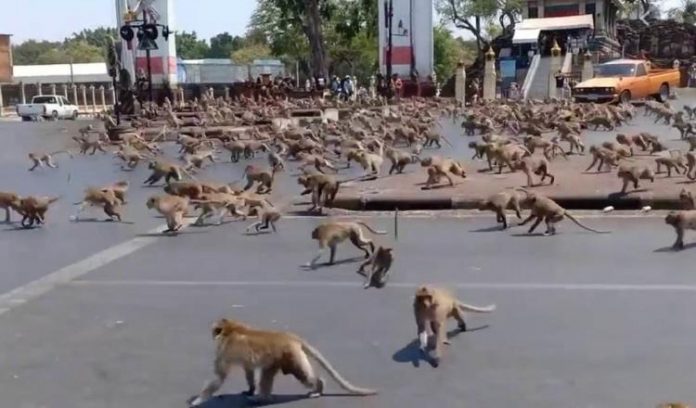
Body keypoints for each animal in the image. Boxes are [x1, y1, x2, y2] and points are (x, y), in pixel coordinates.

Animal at [187, 318, 377, 407]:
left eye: (214, 330)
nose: (212, 334)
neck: (232, 329)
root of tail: (290, 336)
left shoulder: (224, 351)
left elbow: (219, 377)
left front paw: (198, 400)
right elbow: (248, 370)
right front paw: (250, 389)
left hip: (291, 355)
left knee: (300, 374)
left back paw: (318, 387)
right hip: (280, 357)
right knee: (268, 372)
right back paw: (262, 397)